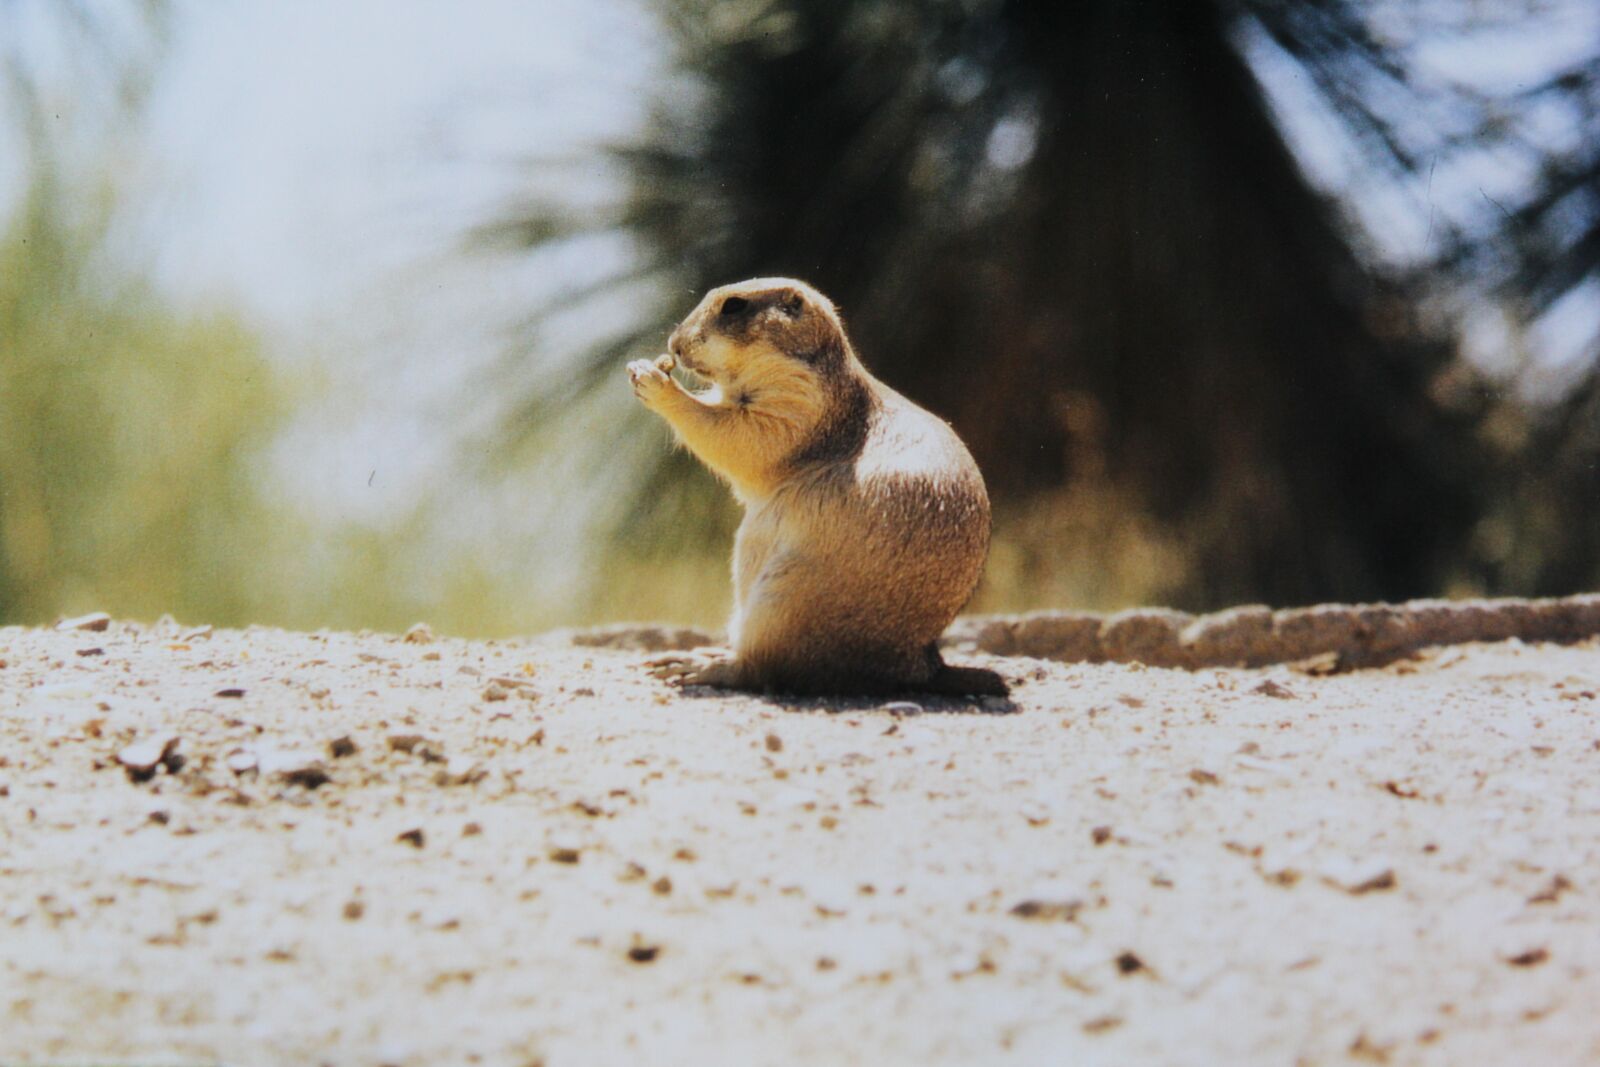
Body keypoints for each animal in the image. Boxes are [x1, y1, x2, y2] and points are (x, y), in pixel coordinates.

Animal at [626, 277, 1006, 698]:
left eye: (734, 306)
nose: (674, 345)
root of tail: (918, 664)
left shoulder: (799, 402)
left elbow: (743, 435)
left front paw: (655, 381)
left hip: (785, 602)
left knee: (761, 670)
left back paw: (701, 666)